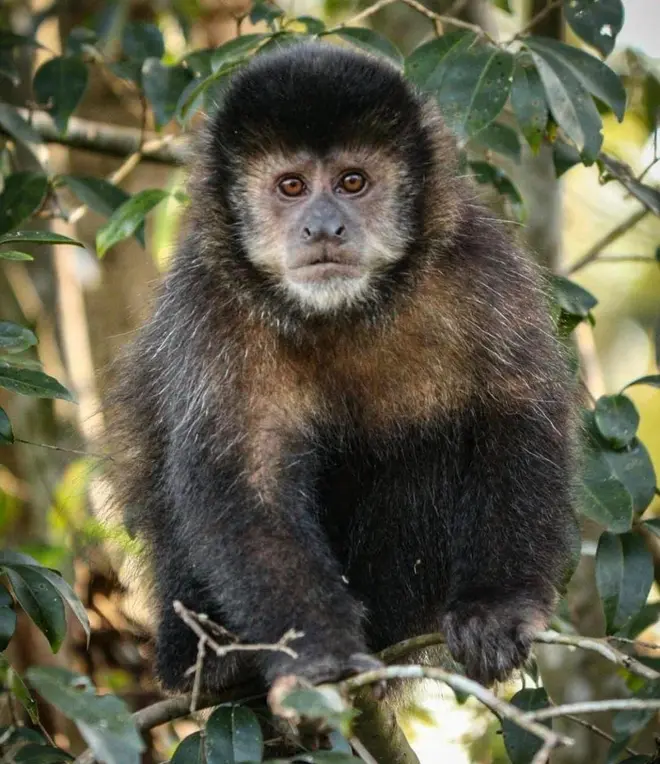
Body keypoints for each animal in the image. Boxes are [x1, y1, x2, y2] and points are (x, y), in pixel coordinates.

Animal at [109, 41, 577, 699]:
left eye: (352, 182)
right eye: (291, 186)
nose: (324, 226)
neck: (343, 312)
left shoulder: (482, 268)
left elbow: (514, 419)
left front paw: (497, 607)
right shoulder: (212, 305)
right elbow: (244, 475)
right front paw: (320, 653)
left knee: (430, 446)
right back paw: (208, 656)